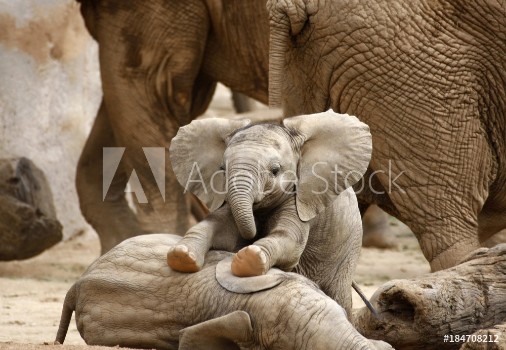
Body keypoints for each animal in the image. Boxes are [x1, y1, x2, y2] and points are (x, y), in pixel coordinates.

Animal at [168, 110, 370, 314]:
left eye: (275, 170)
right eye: (222, 169)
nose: (252, 236)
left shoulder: (300, 199)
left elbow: (290, 240)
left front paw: (248, 258)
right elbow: (218, 227)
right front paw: (181, 255)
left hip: (348, 249)